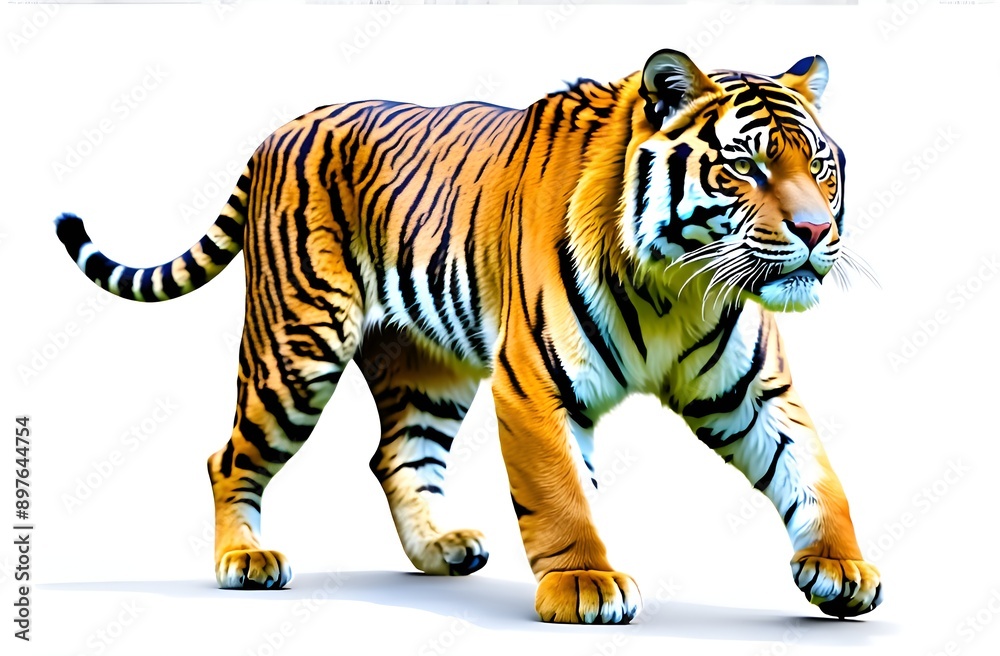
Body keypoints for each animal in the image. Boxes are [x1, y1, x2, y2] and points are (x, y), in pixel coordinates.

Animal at [55, 49, 881, 624]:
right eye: (746, 167)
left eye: (822, 167)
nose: (818, 231)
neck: (676, 288)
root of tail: (283, 128)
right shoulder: (535, 383)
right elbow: (561, 495)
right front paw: (585, 585)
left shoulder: (754, 392)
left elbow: (816, 474)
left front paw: (843, 570)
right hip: (297, 347)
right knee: (228, 457)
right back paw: (245, 559)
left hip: (428, 370)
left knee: (397, 456)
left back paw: (440, 549)